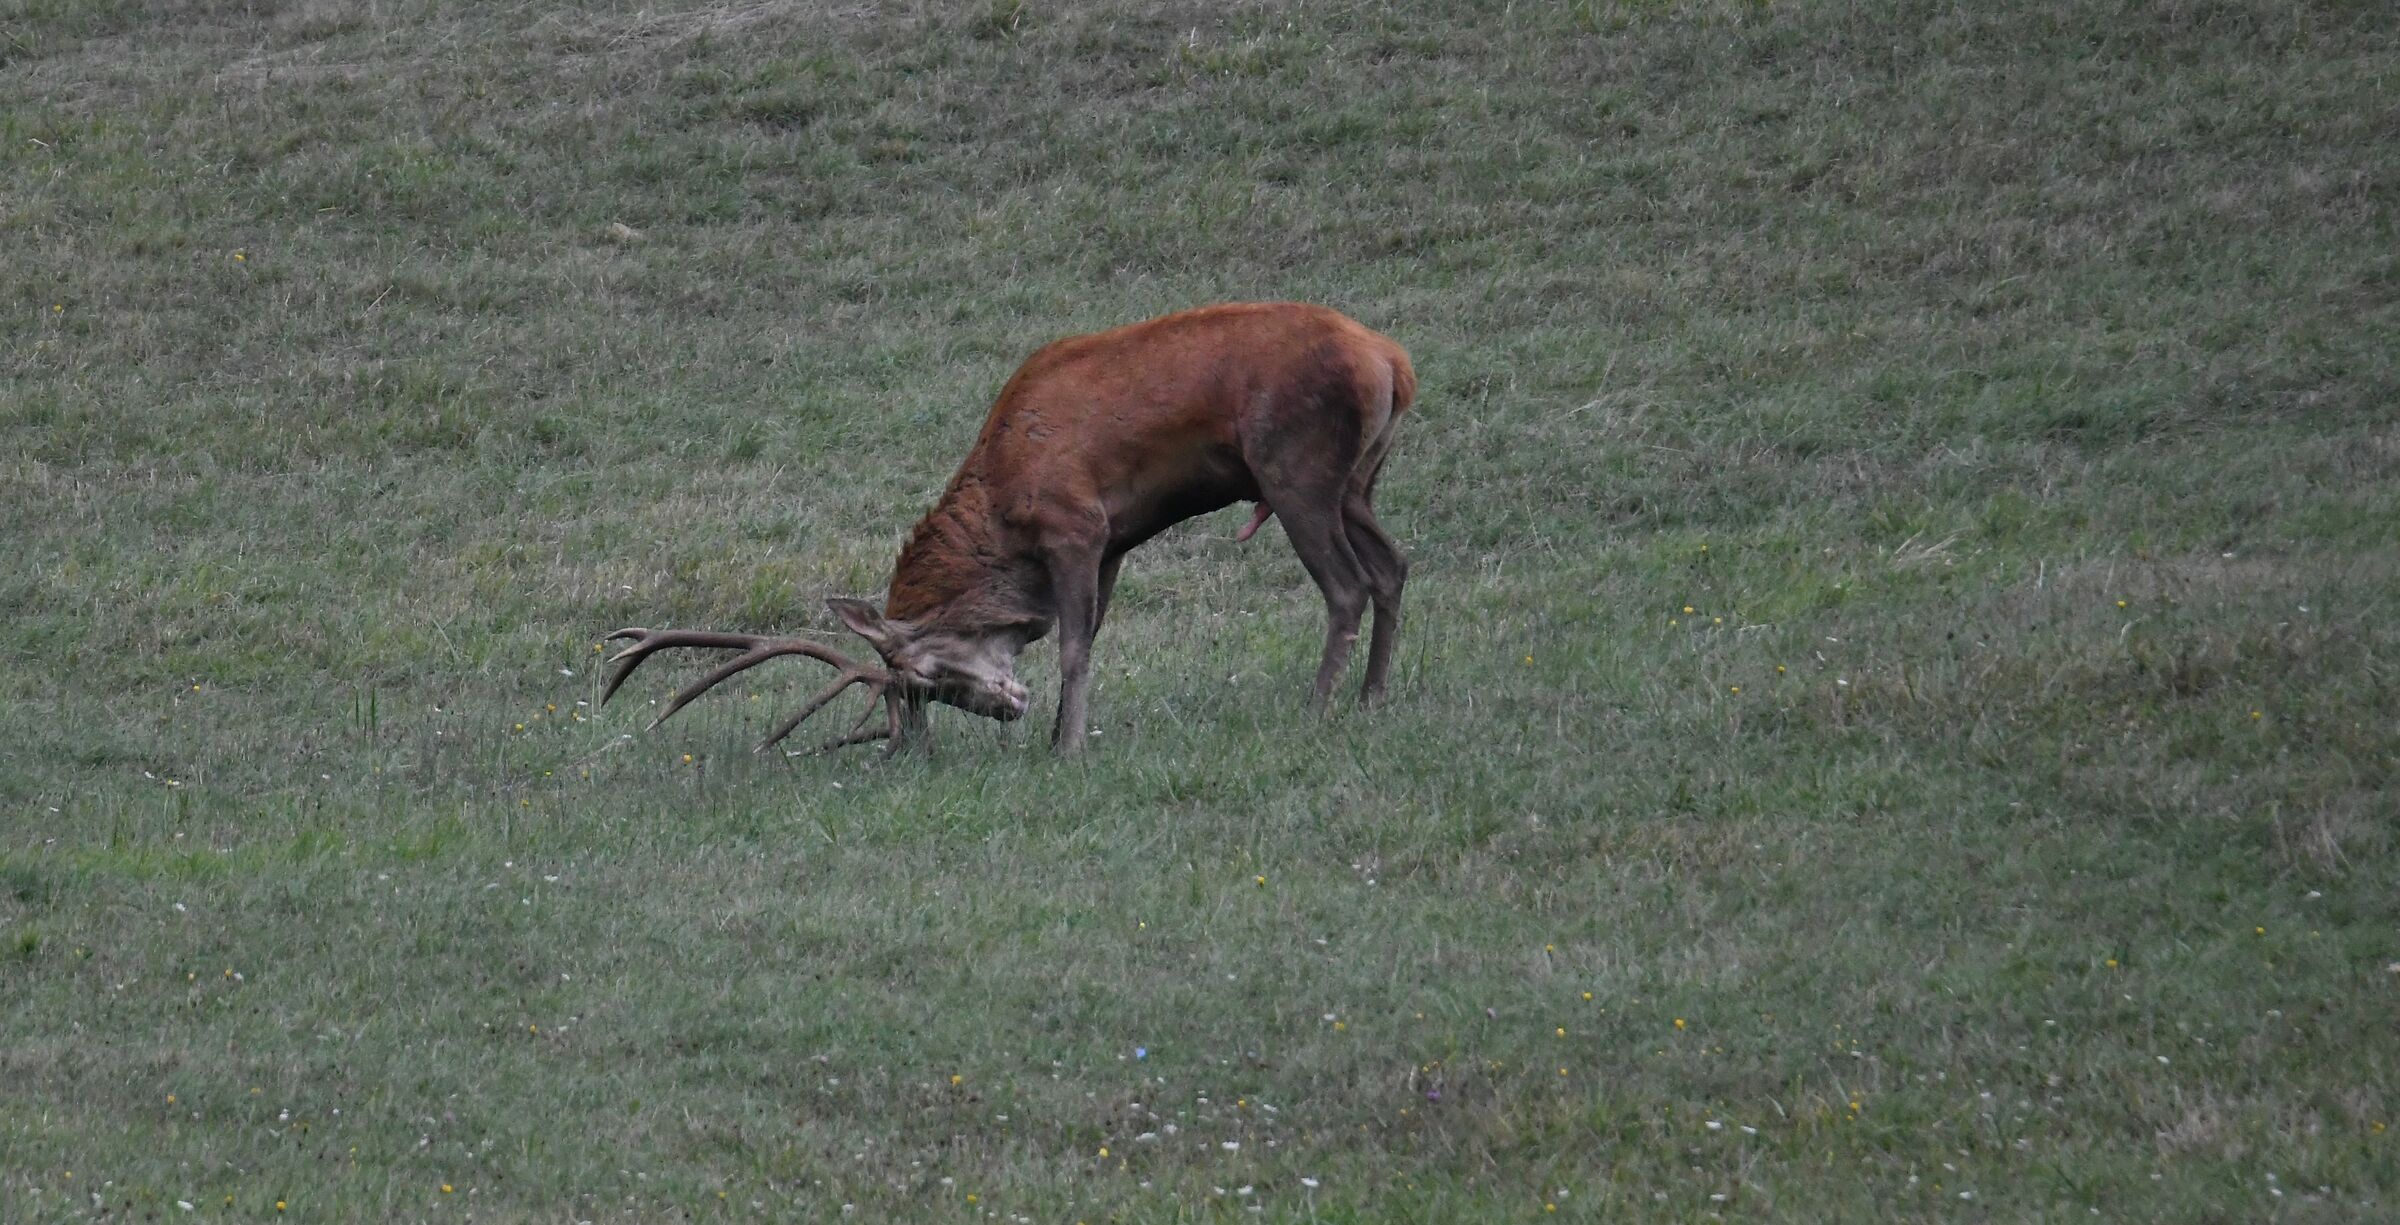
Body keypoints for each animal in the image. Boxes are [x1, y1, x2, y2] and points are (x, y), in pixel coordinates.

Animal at [602, 301, 1415, 756]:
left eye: (923, 677)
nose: (1007, 709)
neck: (1002, 505)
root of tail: (1394, 362)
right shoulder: (1114, 541)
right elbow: (1092, 633)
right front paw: (1060, 732)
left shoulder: (1075, 523)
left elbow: (1074, 645)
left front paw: (1069, 747)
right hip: (1359, 481)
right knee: (1394, 566)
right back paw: (1373, 700)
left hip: (1296, 467)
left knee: (1346, 585)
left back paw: (1316, 709)